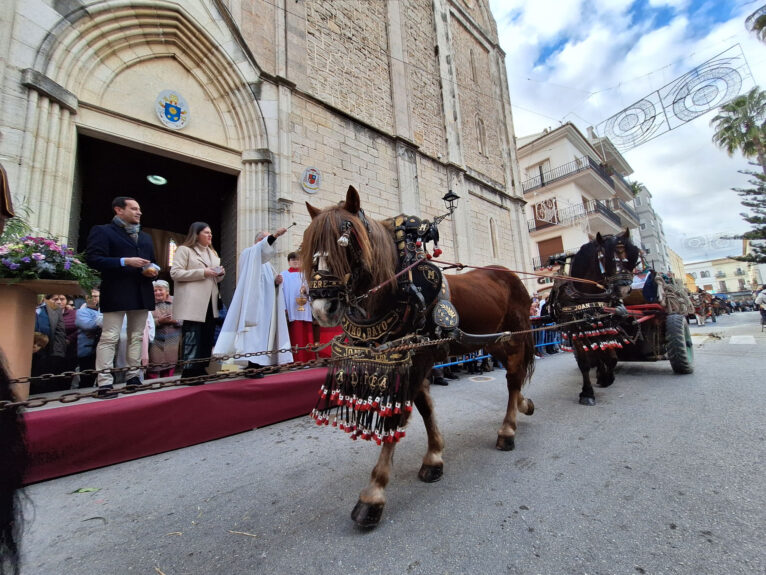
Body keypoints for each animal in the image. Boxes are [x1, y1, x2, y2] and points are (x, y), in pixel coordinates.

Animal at [304, 187, 536, 528]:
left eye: (347, 241)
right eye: (309, 246)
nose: (323, 308)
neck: (401, 290)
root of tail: (511, 276)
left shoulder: (418, 361)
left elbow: (398, 416)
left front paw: (373, 494)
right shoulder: (412, 359)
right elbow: (425, 408)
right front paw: (434, 457)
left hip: (516, 336)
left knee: (513, 377)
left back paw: (507, 430)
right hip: (494, 341)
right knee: (514, 376)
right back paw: (523, 405)